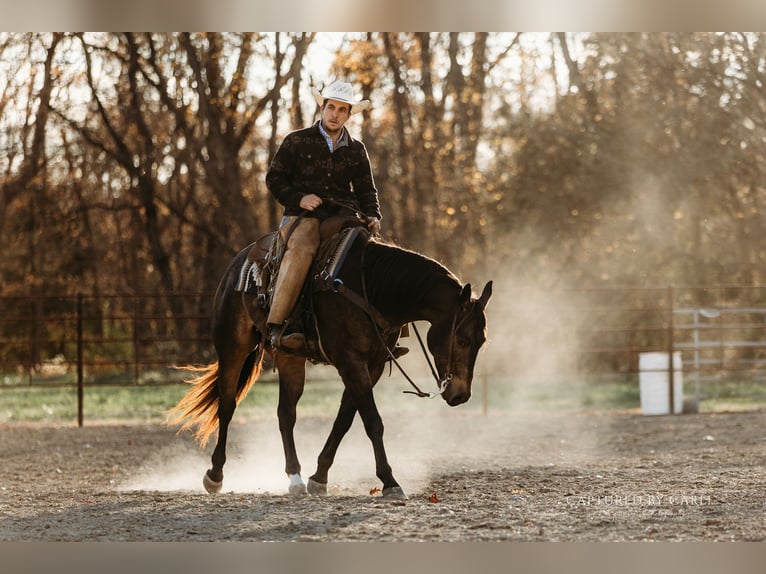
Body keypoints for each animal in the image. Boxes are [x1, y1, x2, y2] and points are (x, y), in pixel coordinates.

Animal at [168, 224, 492, 499]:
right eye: (463, 340)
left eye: (482, 341)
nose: (461, 395)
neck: (371, 287)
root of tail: (238, 264)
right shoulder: (351, 362)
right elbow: (373, 422)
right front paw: (390, 482)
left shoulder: (371, 366)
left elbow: (344, 420)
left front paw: (319, 477)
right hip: (232, 348)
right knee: (227, 405)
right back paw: (215, 475)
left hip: (289, 358)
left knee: (286, 414)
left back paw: (295, 478)